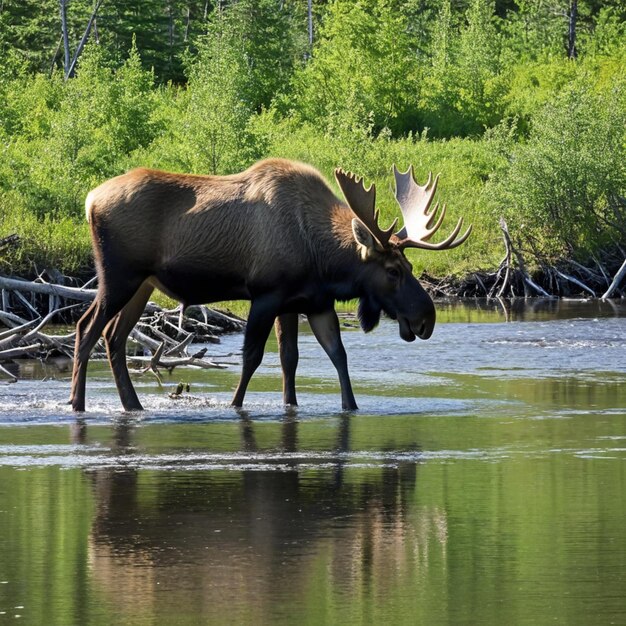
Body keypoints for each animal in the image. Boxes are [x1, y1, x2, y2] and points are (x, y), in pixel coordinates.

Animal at [69, 157, 468, 410]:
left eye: (410, 265)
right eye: (392, 271)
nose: (426, 319)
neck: (323, 259)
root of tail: (89, 200)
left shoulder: (309, 303)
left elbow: (322, 356)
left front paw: (343, 406)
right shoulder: (266, 295)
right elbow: (252, 357)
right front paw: (235, 404)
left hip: (143, 284)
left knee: (114, 336)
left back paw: (132, 404)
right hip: (119, 276)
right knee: (87, 327)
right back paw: (78, 403)